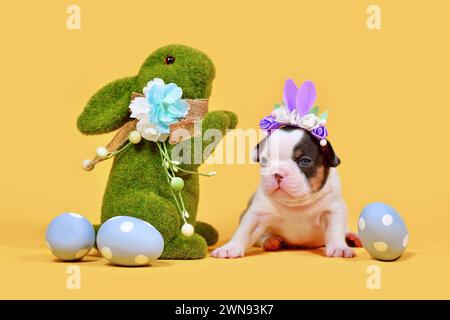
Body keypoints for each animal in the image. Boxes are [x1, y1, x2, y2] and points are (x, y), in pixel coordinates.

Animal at [212, 126, 362, 258]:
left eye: (304, 161)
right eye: (264, 160)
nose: (278, 173)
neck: (296, 204)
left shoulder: (332, 210)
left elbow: (334, 230)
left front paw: (338, 247)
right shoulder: (257, 215)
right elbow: (245, 231)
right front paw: (230, 247)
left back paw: (353, 237)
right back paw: (270, 241)